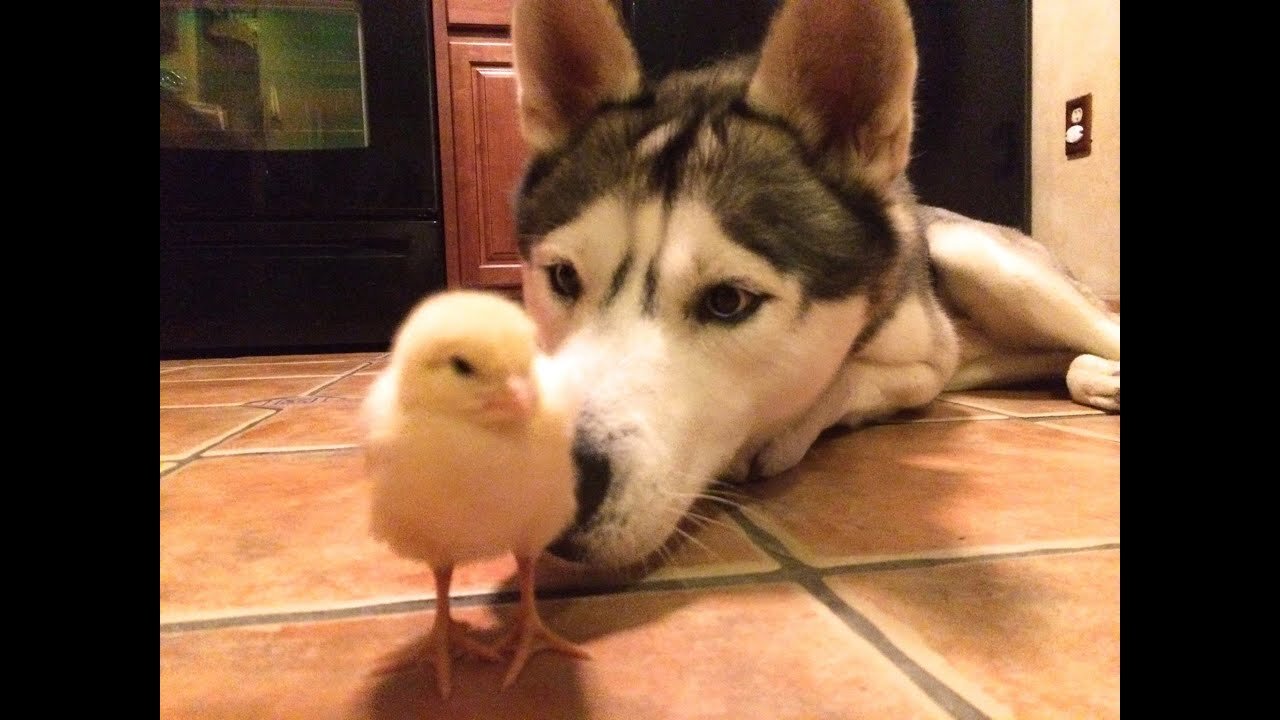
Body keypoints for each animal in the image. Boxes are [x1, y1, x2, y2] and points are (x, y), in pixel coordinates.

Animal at [509, 0, 1121, 566]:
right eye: (563, 277)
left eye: (727, 301)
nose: (538, 482)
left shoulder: (930, 366)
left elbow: (845, 377)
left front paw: (783, 429)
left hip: (983, 258)